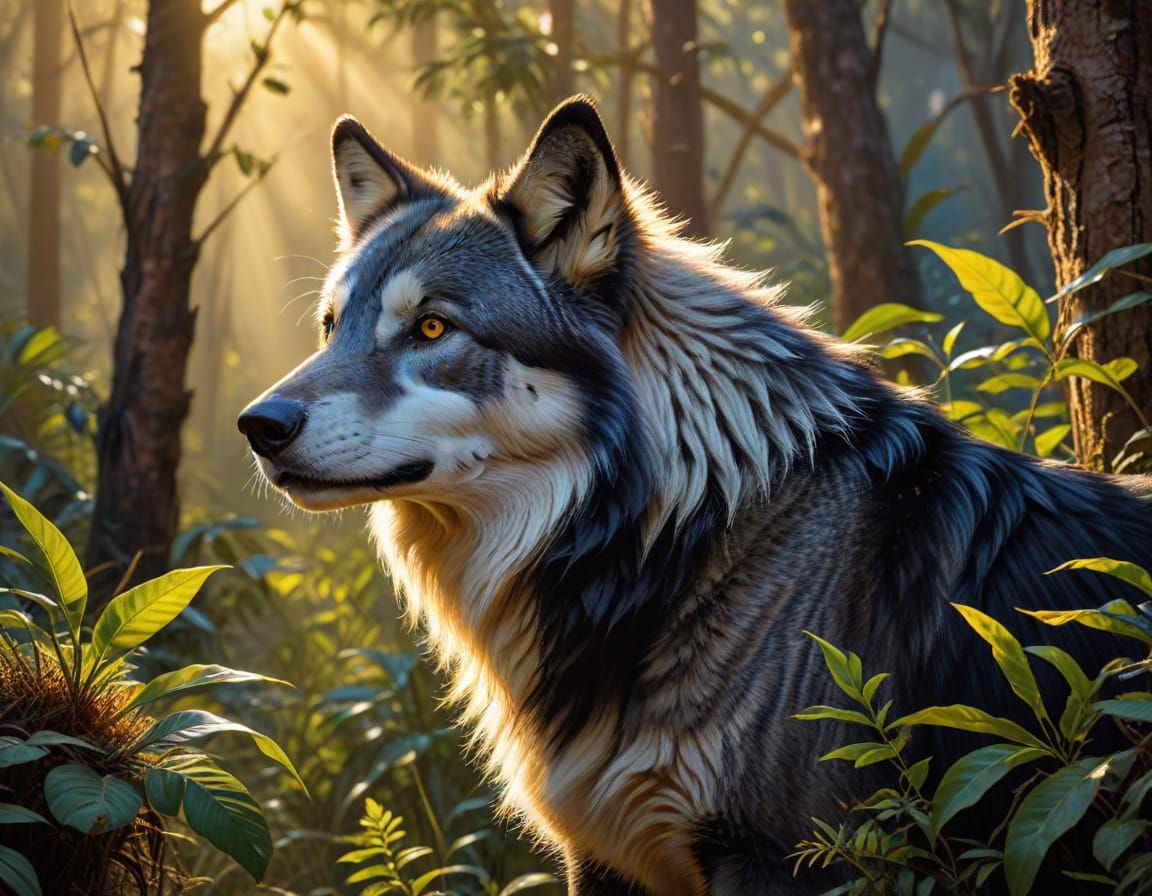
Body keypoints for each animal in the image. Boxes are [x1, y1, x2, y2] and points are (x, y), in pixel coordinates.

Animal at [239, 97, 1152, 894]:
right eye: (331, 328)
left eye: (431, 328)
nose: (259, 425)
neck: (675, 540)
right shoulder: (601, 856)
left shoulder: (783, 859)